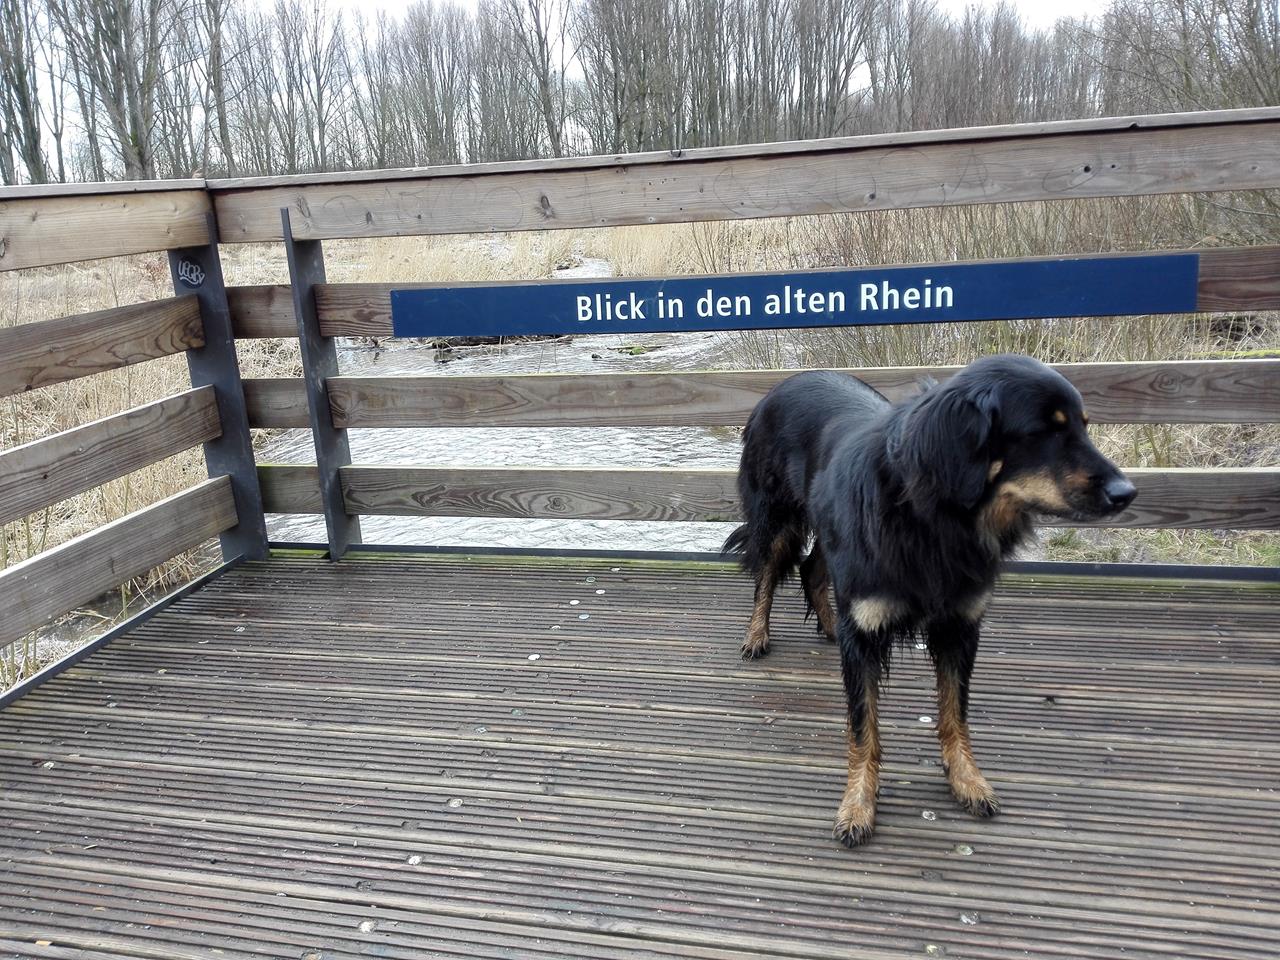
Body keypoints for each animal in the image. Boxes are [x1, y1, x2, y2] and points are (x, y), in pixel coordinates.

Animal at [723, 354, 1136, 847]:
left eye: (1083, 426)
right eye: (1044, 432)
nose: (1127, 493)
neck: (935, 518)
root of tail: (780, 385)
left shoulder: (960, 626)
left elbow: (954, 713)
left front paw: (966, 779)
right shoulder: (866, 631)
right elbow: (863, 727)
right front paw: (857, 804)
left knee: (812, 569)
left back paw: (827, 625)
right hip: (775, 515)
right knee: (766, 572)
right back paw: (756, 635)